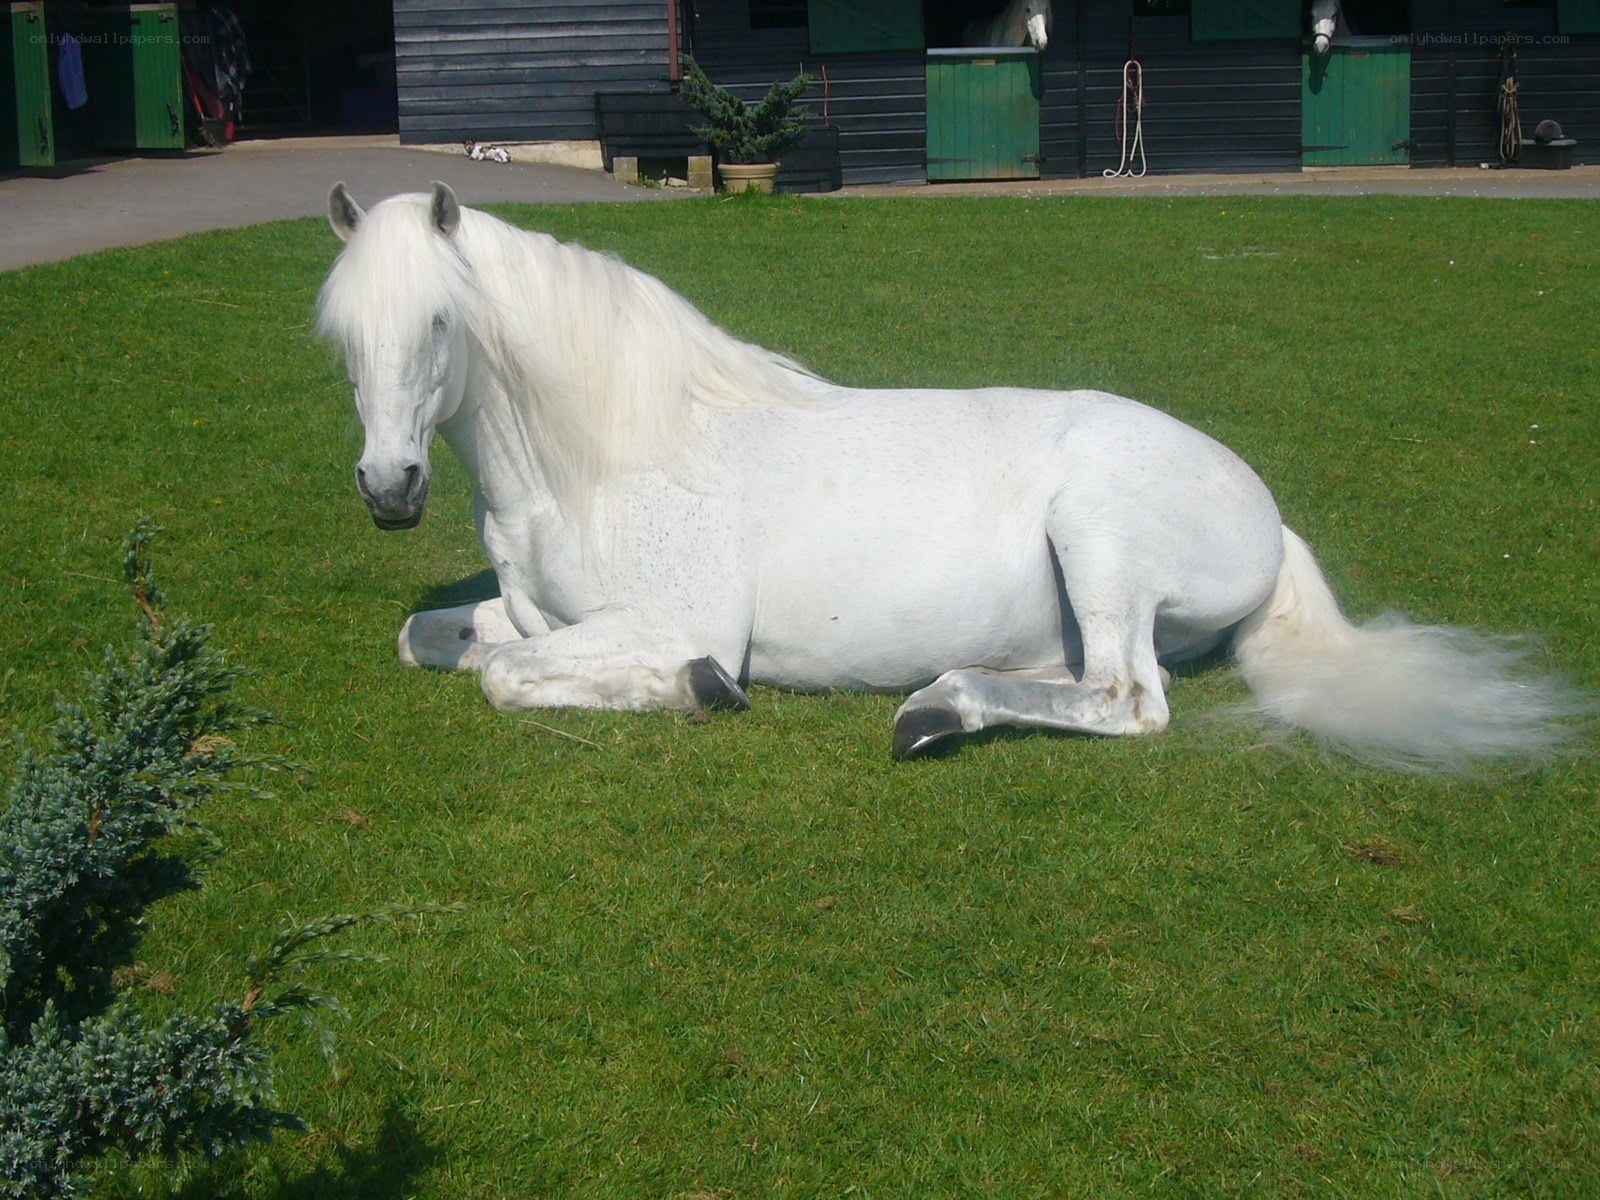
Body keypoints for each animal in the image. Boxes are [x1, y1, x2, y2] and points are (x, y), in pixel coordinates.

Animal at [317, 183, 1581, 770]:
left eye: (438, 322)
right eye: (341, 337)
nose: (387, 490)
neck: (609, 460)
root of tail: (1263, 513)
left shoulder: (673, 617)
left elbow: (504, 677)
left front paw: (699, 689)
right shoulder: (535, 611)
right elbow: (441, 641)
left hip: (1099, 536)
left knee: (1127, 701)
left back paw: (939, 711)